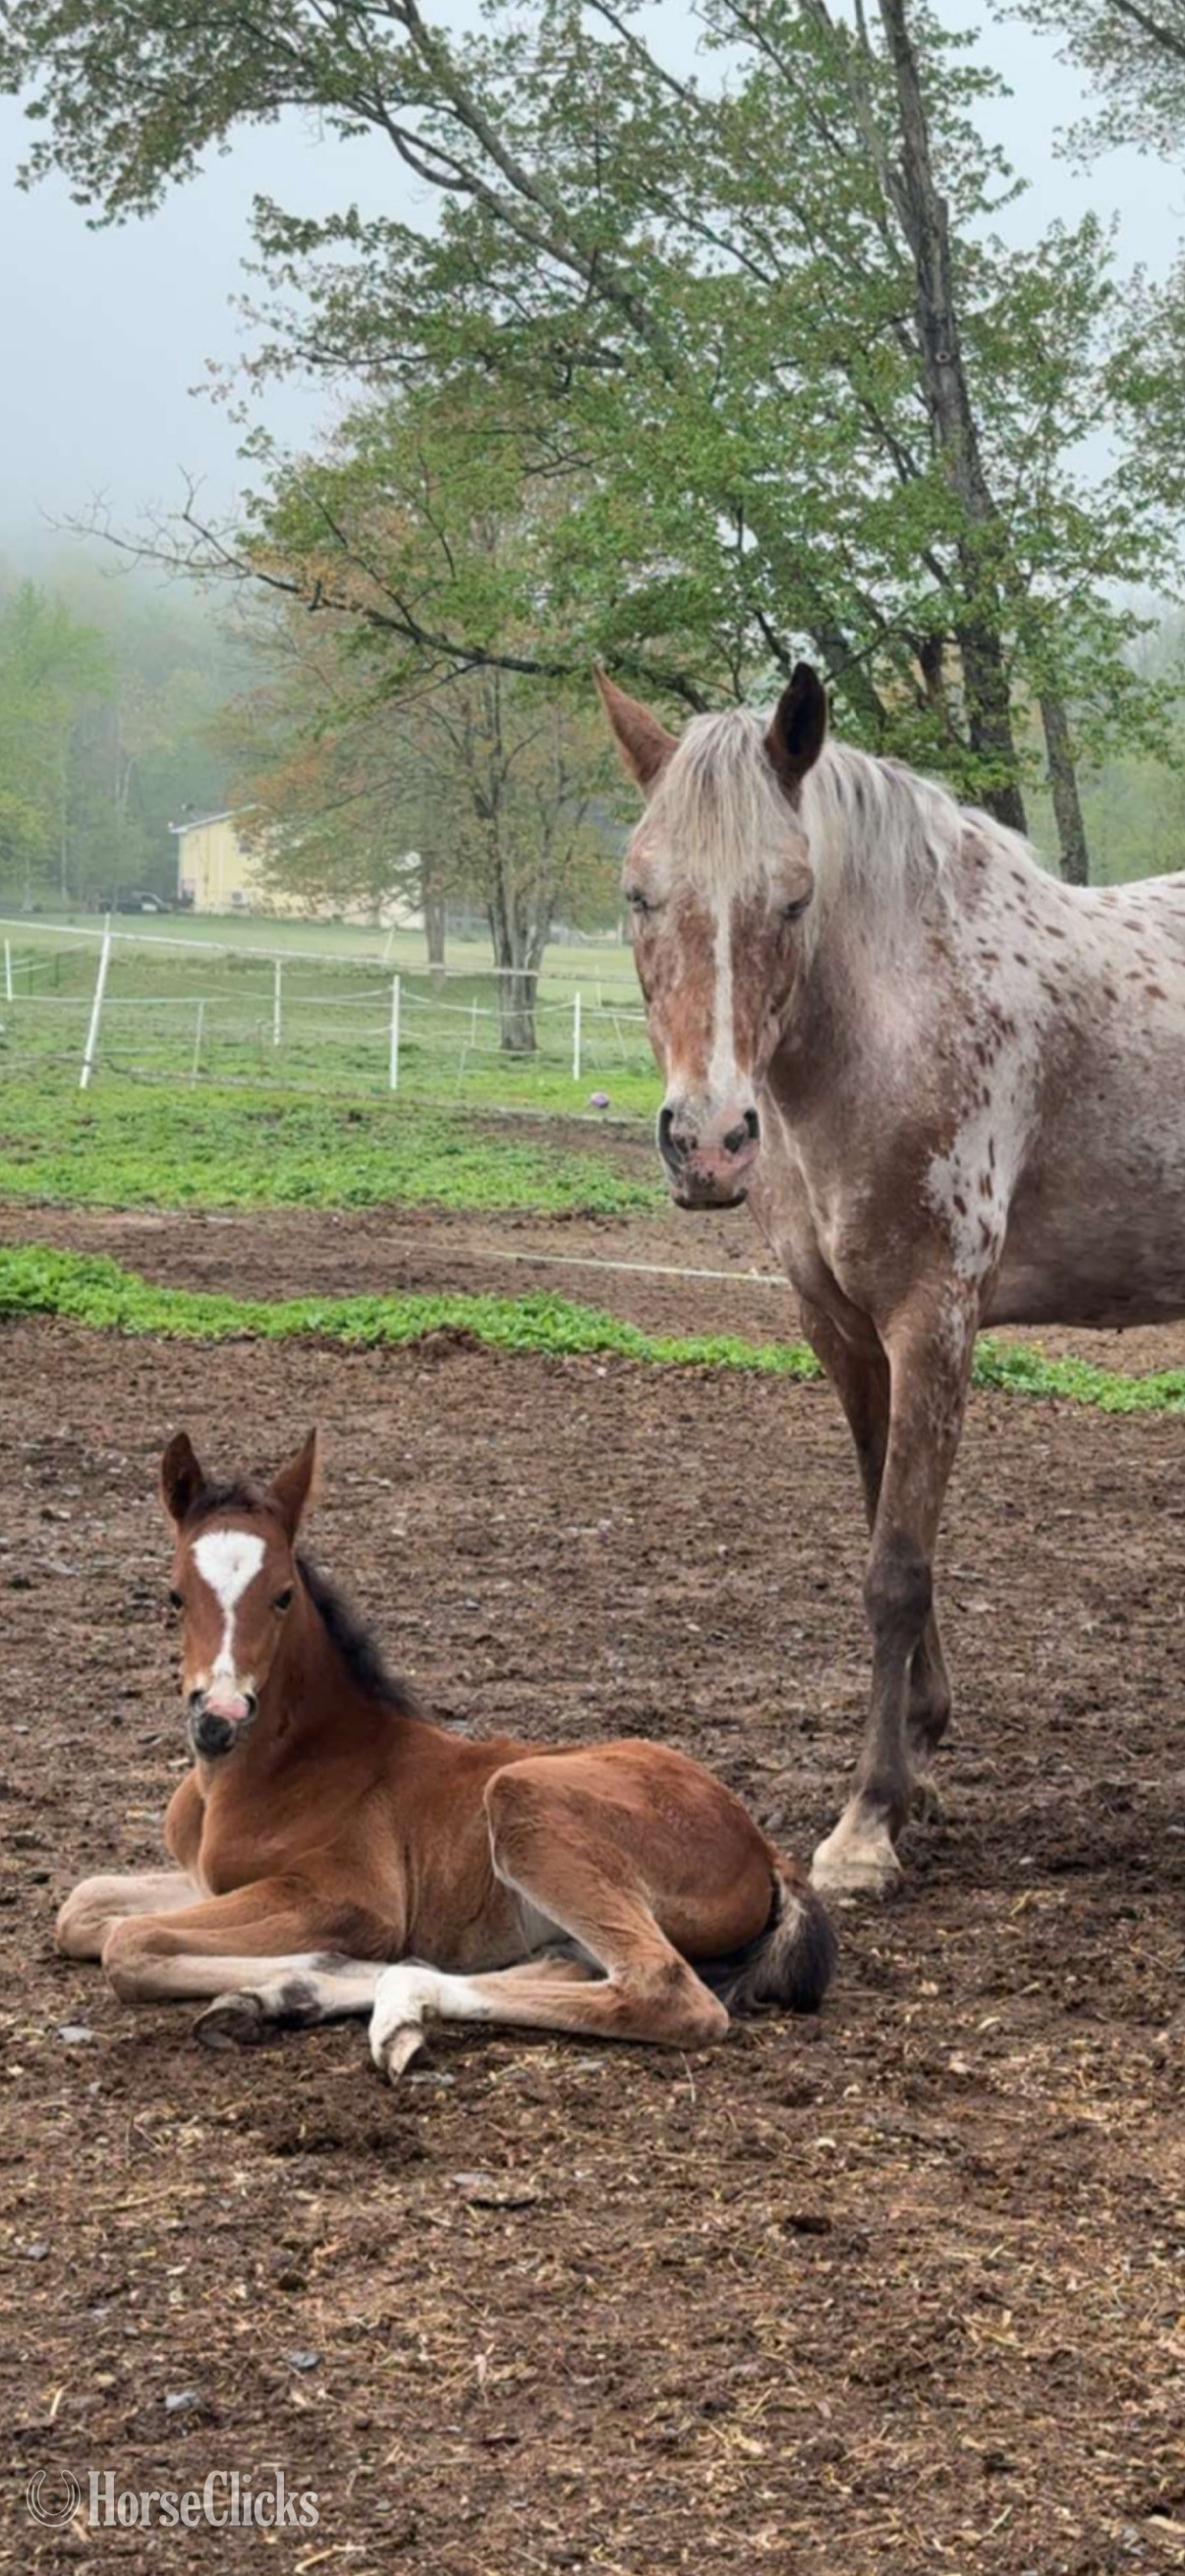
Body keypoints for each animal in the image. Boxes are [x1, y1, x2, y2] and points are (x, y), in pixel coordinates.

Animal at [56, 1429, 836, 2079]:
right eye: (174, 1596)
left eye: (281, 1596)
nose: (217, 1718)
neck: (258, 1773)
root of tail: (763, 1846)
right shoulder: (207, 1881)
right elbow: (83, 1909)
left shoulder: (349, 1899)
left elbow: (130, 1944)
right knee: (571, 1970)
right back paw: (285, 1998)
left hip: (523, 1799)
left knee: (666, 1989)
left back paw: (377, 2005)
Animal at [595, 661, 1185, 1899]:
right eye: (637, 893)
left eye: (792, 900)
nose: (709, 1142)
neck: (905, 1016)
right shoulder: (842, 1327)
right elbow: (882, 1517)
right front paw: (920, 1751)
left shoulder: (935, 1320)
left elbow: (897, 1567)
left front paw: (867, 1823)